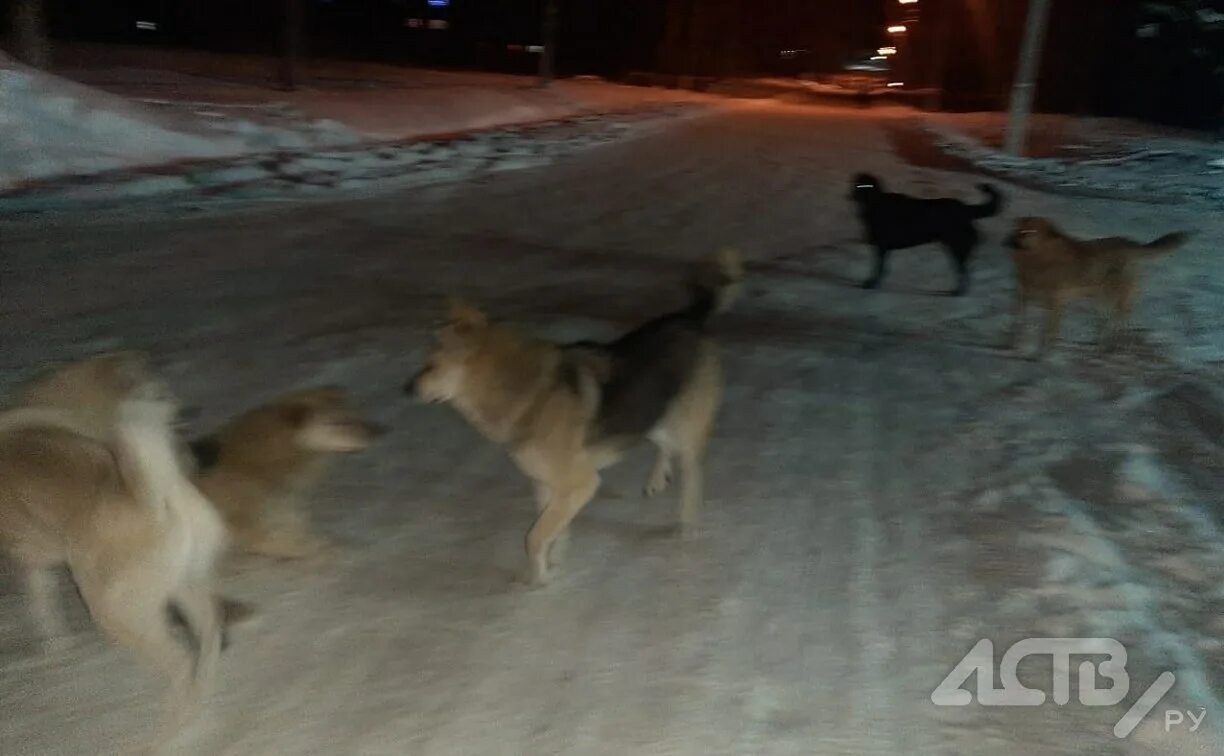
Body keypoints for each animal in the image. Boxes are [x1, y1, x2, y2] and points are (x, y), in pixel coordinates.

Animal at [0, 357, 227, 733]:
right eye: (166, 395)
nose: (185, 414)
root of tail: (154, 498)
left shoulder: (29, 564)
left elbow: (42, 609)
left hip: (111, 610)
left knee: (179, 663)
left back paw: (172, 731)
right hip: (180, 587)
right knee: (208, 635)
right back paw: (203, 703)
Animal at [406, 247, 739, 582]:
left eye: (432, 365)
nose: (406, 389)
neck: (527, 391)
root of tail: (692, 316)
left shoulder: (581, 483)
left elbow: (536, 536)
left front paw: (539, 579)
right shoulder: (548, 486)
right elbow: (553, 532)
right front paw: (552, 565)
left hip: (685, 428)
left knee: (692, 473)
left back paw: (688, 524)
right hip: (653, 414)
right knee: (663, 444)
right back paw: (658, 478)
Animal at [851, 173, 1003, 294]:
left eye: (865, 186)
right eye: (857, 185)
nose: (851, 195)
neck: (875, 202)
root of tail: (966, 208)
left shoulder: (881, 246)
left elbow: (878, 268)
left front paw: (871, 283)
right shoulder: (882, 247)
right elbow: (881, 268)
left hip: (957, 247)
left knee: (963, 271)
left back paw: (958, 292)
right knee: (965, 270)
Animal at [1008, 215, 1189, 357]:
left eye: (1030, 232)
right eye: (1018, 230)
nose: (1009, 243)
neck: (1040, 257)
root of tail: (1129, 243)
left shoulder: (1055, 302)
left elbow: (1048, 331)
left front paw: (1043, 352)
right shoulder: (1024, 296)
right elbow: (1021, 322)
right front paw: (1018, 343)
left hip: (1112, 295)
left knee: (1119, 319)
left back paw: (1115, 342)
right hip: (1100, 298)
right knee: (1109, 320)